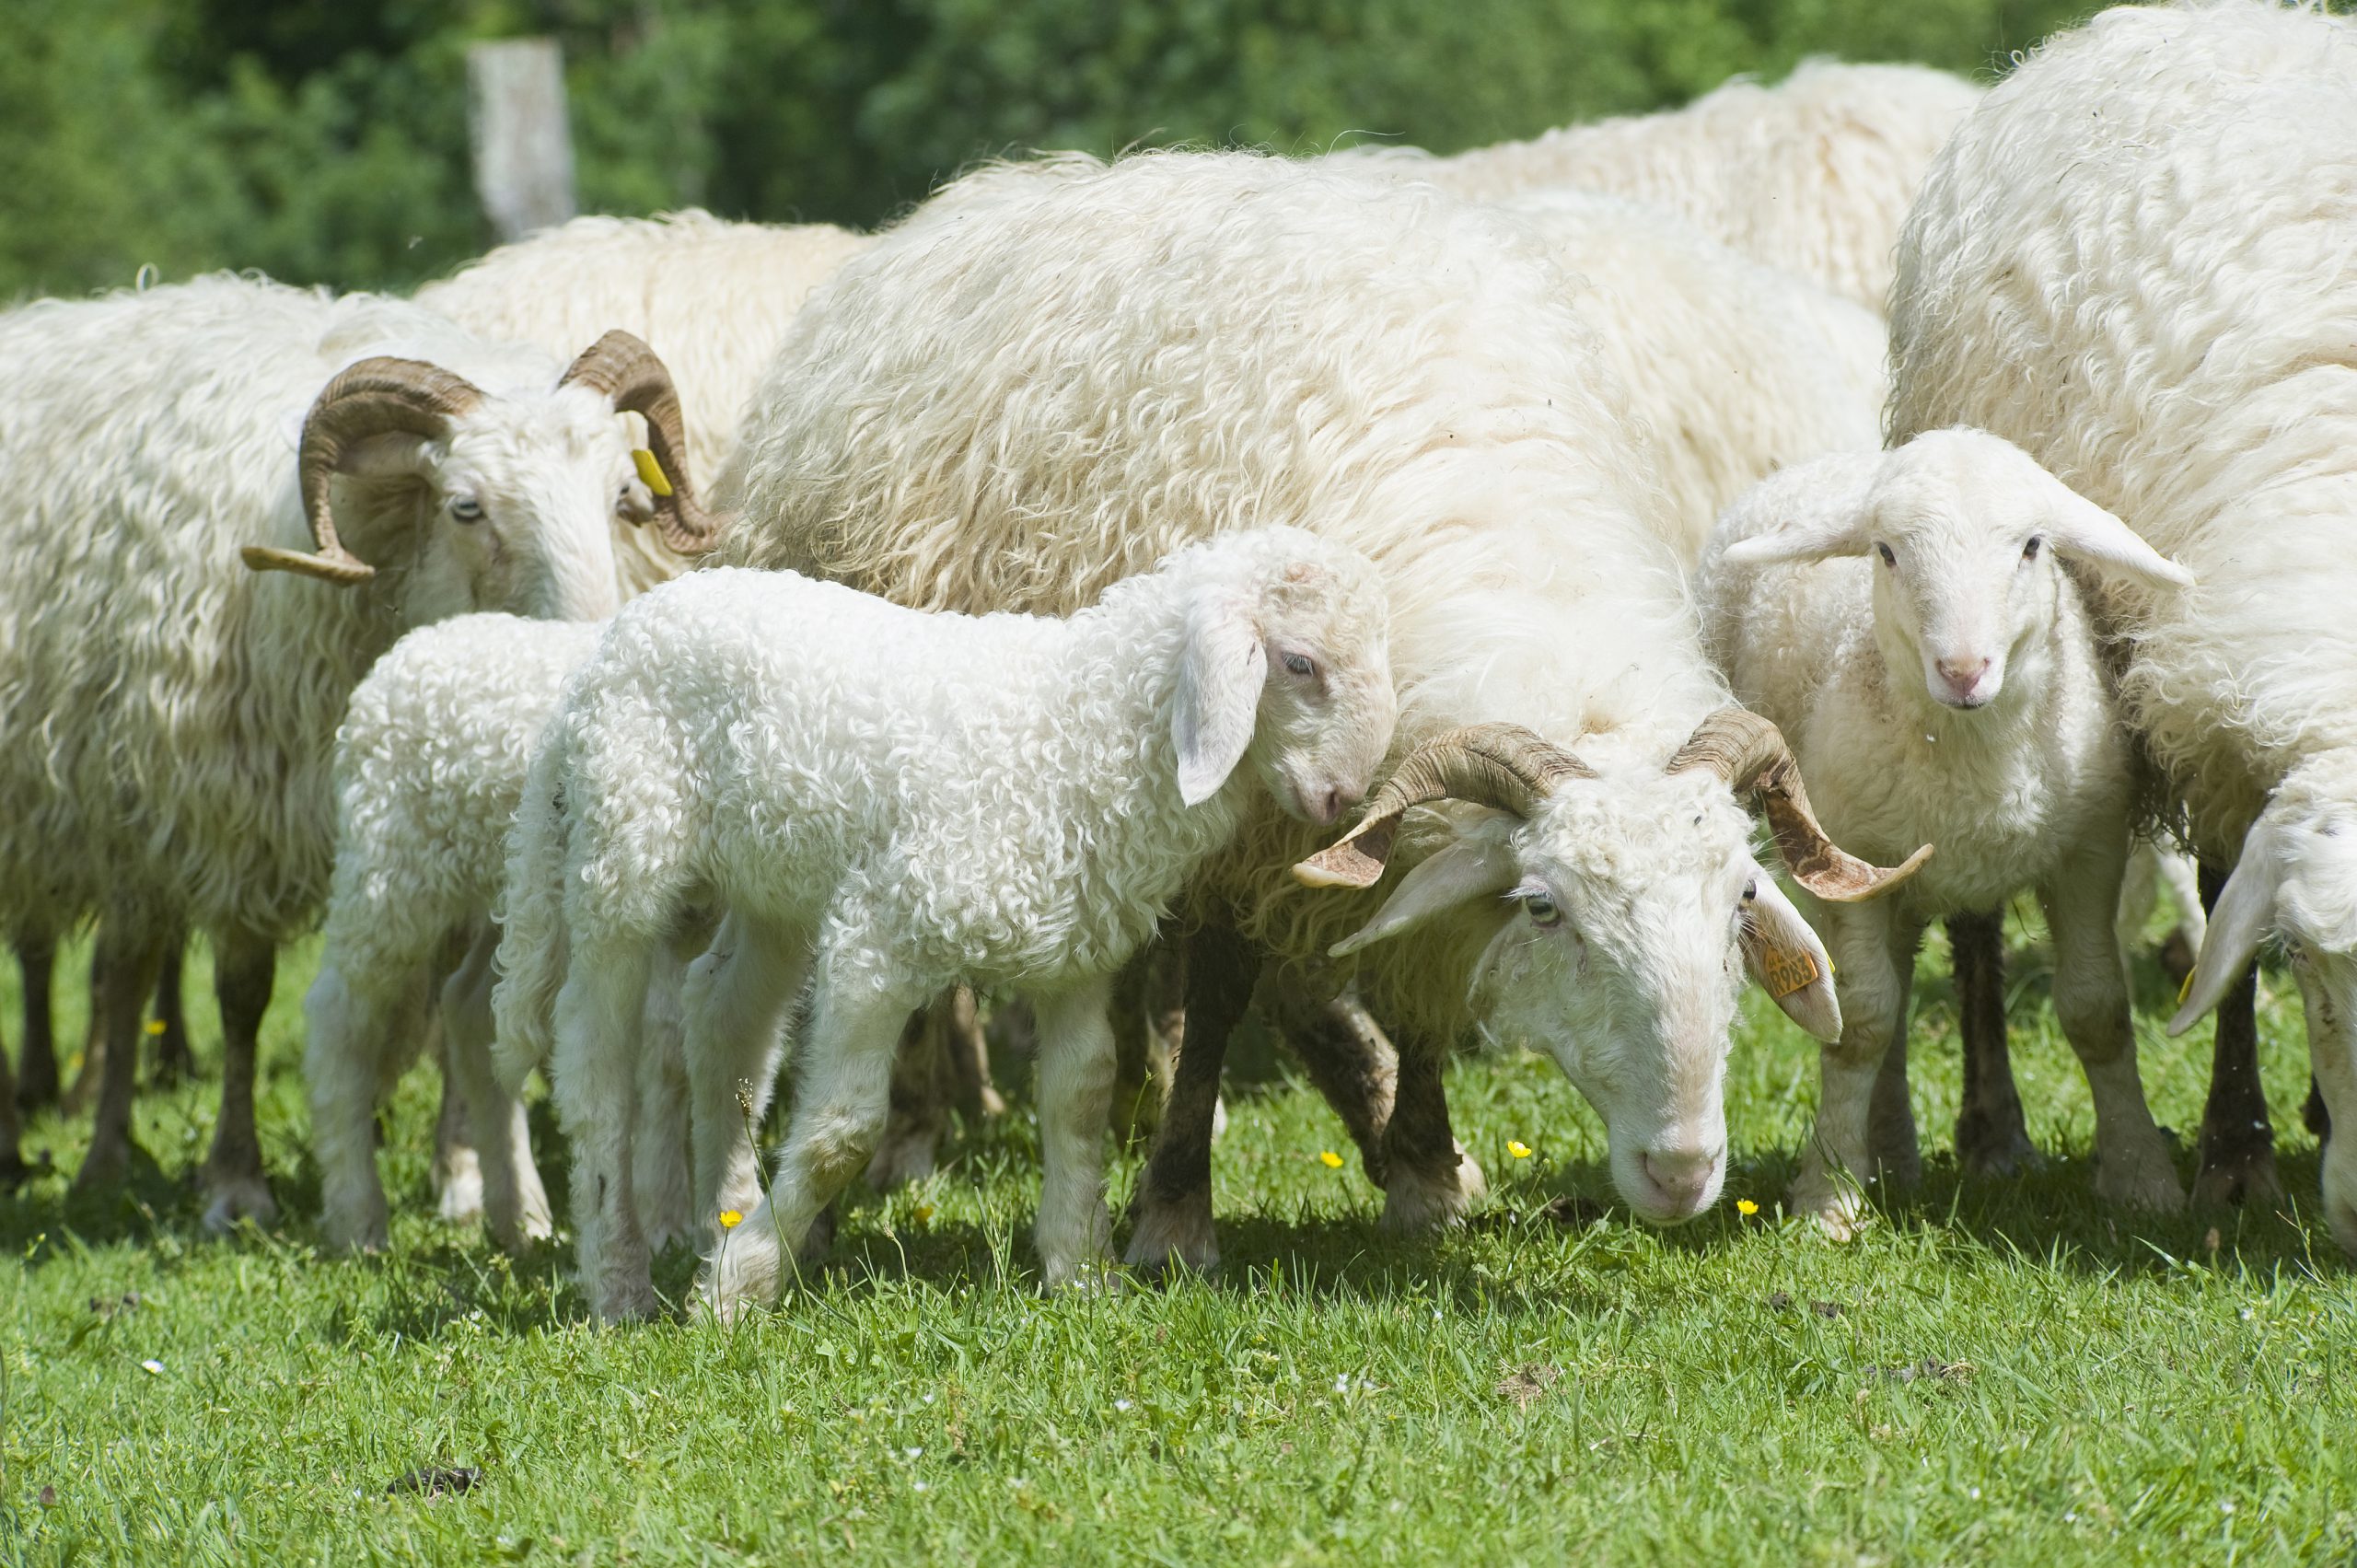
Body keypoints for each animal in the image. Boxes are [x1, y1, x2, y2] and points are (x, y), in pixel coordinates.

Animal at [0, 272, 712, 1225]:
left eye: (619, 499)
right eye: (466, 506)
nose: (599, 638)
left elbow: (455, 992)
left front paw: (460, 1171)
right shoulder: (238, 812)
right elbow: (244, 995)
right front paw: (237, 1179)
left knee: (126, 964)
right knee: (118, 970)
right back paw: (60, 1146)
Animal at [485, 526, 1386, 1320]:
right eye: (1299, 664)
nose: (1344, 800)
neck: (1082, 731)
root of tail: (601, 655)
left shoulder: (1074, 955)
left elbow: (1081, 1095)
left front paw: (1080, 1272)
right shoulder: (877, 937)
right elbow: (841, 1134)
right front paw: (740, 1290)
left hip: (771, 882)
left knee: (724, 1017)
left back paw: (724, 1213)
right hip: (621, 856)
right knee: (593, 1065)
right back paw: (621, 1282)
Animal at [1706, 431, 2196, 1235]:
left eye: (2032, 546)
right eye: (1885, 551)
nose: (1963, 670)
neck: (1971, 760)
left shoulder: (2091, 851)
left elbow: (2097, 1011)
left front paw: (2142, 1176)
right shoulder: (1853, 862)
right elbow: (1861, 1025)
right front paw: (1828, 1194)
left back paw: (1892, 1153)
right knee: (1883, 1003)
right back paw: (1882, 1155)